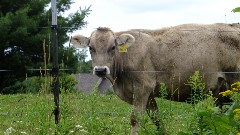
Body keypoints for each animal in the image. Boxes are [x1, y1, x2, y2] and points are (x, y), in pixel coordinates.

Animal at [70, 23, 240, 134]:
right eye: (90, 48)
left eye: (113, 47)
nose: (100, 70)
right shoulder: (148, 94)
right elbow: (157, 119)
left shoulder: (142, 88)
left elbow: (135, 119)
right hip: (222, 92)